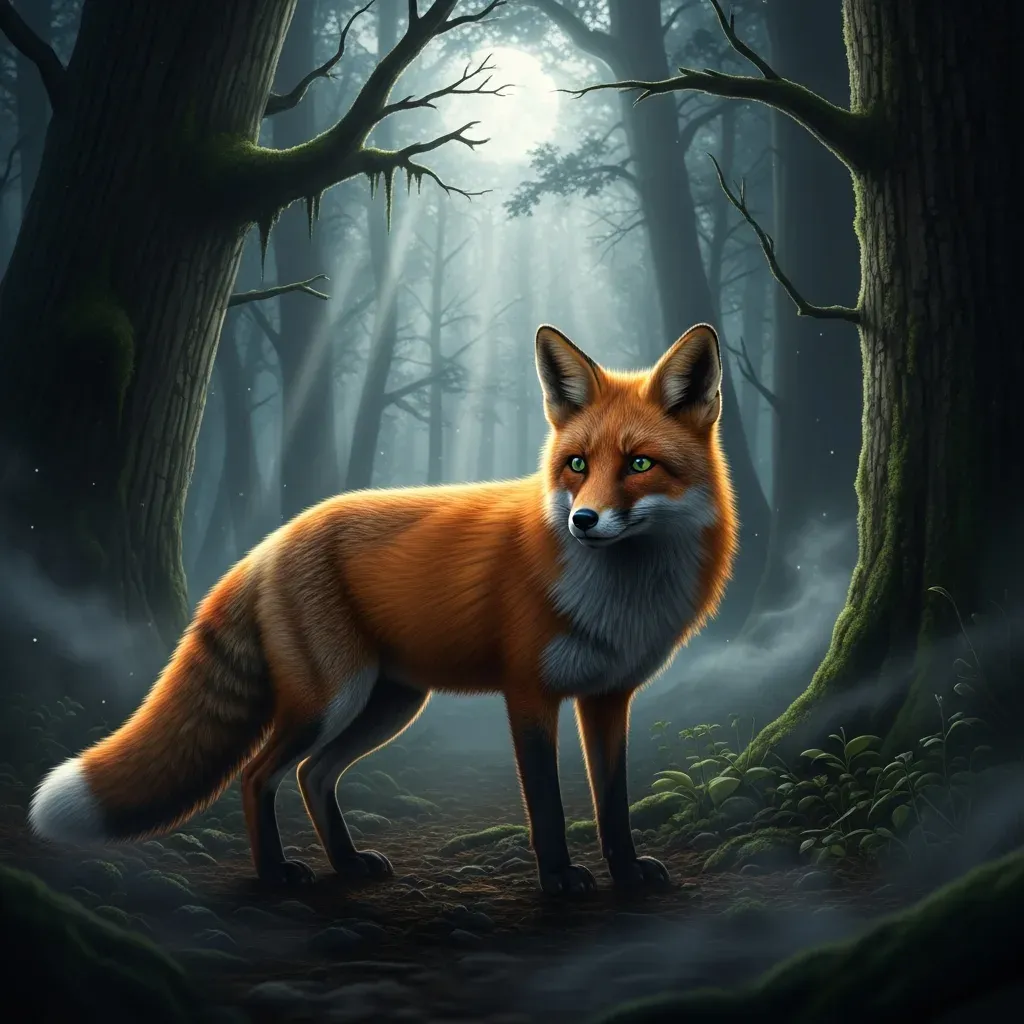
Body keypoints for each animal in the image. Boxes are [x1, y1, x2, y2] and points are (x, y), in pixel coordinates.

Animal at [28, 322, 737, 895]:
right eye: (577, 465)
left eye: (640, 464)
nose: (582, 521)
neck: (620, 597)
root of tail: (272, 541)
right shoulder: (528, 694)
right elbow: (547, 804)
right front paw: (560, 880)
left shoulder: (608, 697)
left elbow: (612, 803)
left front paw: (626, 873)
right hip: (331, 700)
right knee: (258, 775)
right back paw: (275, 876)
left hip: (388, 704)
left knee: (313, 776)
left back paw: (346, 865)